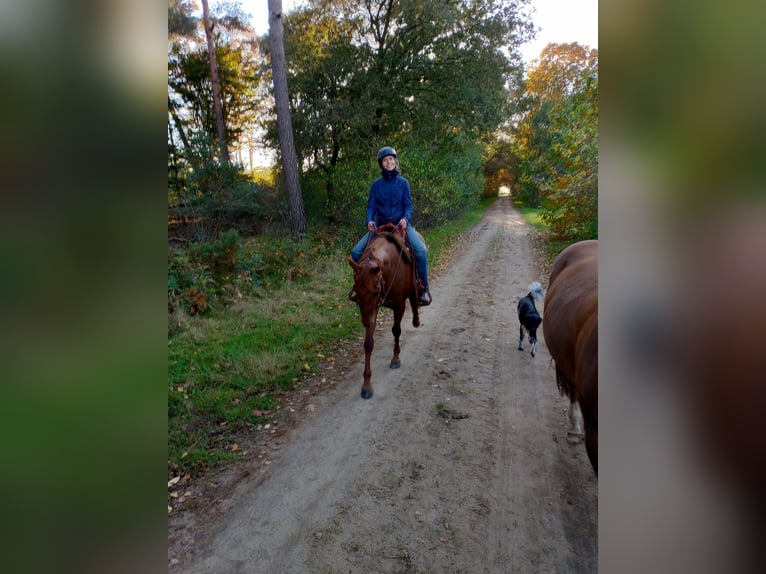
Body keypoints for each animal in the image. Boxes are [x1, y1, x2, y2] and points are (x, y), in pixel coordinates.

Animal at [350, 226, 424, 400]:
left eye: (376, 291)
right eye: (357, 292)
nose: (366, 322)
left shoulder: (399, 306)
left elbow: (396, 330)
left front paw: (396, 358)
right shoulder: (372, 310)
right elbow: (368, 343)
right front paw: (366, 385)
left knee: (415, 298)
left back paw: (417, 320)